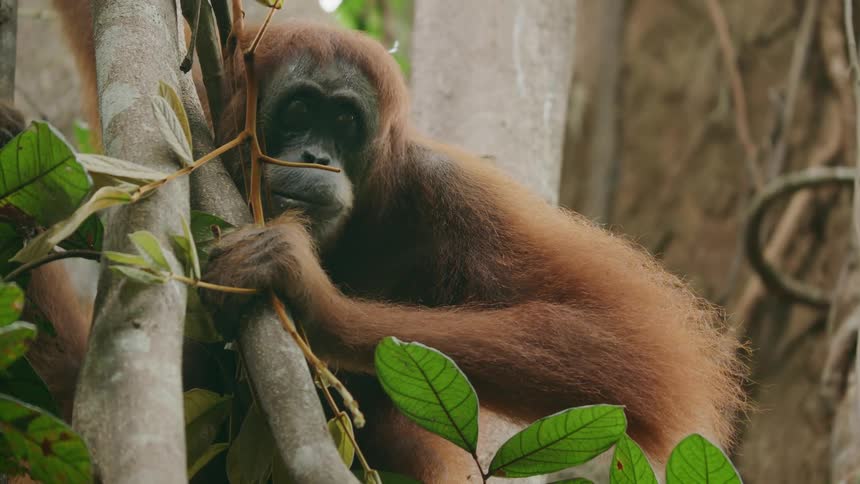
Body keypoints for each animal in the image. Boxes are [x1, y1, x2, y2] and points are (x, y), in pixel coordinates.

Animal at [43, 3, 746, 483]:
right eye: (299, 110)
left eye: (344, 120)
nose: (316, 156)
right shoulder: (203, 123)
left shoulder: (448, 189)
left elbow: (625, 348)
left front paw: (307, 295)